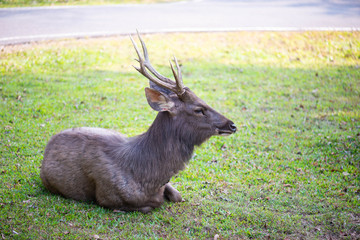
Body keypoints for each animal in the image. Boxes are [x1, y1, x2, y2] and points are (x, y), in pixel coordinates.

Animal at [40, 32, 236, 214]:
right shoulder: (107, 197)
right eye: (198, 109)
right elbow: (150, 205)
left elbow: (177, 196)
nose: (232, 125)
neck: (148, 175)